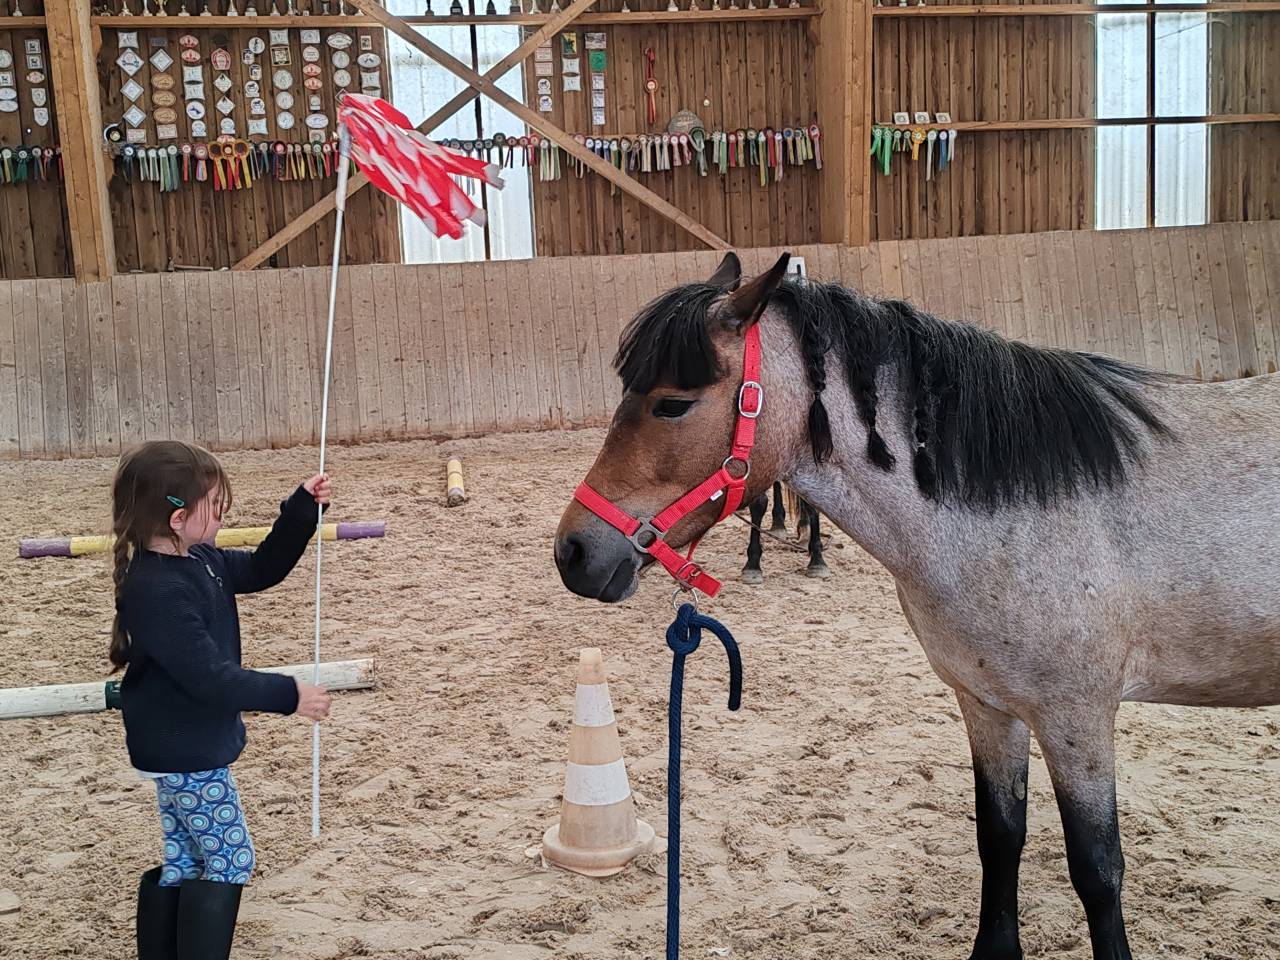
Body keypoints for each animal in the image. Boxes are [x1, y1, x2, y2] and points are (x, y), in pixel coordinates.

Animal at [554, 251, 1280, 960]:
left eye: (674, 404)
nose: (574, 552)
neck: (1017, 506)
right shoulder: (987, 704)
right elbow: (1000, 839)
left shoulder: (1077, 716)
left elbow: (1097, 872)